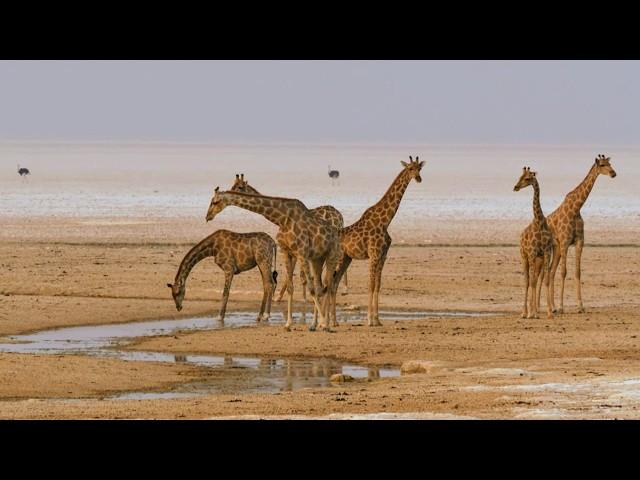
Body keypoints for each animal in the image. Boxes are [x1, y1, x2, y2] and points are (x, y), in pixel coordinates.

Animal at [208, 189, 342, 332]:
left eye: (215, 202)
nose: (208, 216)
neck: (282, 218)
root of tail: (337, 231)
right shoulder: (287, 252)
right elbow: (291, 287)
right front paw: (288, 324)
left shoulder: (302, 252)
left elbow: (310, 288)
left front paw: (323, 323)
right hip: (317, 259)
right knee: (320, 286)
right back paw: (314, 325)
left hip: (331, 255)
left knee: (329, 284)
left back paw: (326, 323)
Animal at [228, 172, 350, 300]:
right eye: (233, 185)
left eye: (240, 187)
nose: (230, 193)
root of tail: (340, 216)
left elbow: (293, 273)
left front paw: (282, 297)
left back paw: (344, 288)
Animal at [330, 157, 424, 326]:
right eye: (410, 169)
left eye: (419, 168)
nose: (419, 179)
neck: (385, 221)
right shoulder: (373, 255)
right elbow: (371, 284)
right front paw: (369, 319)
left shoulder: (383, 256)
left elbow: (378, 286)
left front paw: (377, 319)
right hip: (338, 258)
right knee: (328, 283)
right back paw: (325, 322)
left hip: (346, 259)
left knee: (333, 284)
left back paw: (333, 322)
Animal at [512, 167, 552, 320]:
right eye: (520, 176)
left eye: (527, 178)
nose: (515, 187)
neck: (539, 222)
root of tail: (521, 237)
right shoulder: (532, 252)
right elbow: (532, 282)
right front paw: (531, 313)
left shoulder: (546, 252)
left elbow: (545, 280)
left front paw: (548, 312)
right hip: (524, 256)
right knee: (527, 281)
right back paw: (524, 312)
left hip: (537, 258)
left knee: (533, 279)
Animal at [544, 153, 616, 312]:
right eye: (602, 165)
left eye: (610, 163)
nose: (613, 173)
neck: (576, 209)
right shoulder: (565, 242)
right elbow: (564, 272)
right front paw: (562, 306)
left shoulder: (579, 242)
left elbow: (577, 272)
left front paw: (580, 306)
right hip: (550, 248)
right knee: (547, 271)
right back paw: (550, 307)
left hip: (556, 248)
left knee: (551, 271)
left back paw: (552, 307)